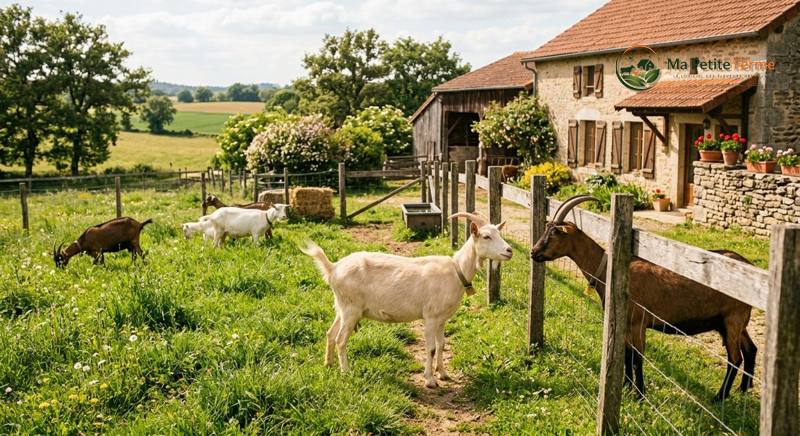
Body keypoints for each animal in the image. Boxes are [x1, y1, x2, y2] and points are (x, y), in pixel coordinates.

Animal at [301, 212, 513, 388]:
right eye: (486, 236)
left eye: (498, 233)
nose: (509, 250)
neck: (456, 270)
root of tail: (333, 268)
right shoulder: (430, 317)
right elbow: (431, 348)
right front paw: (430, 380)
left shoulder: (442, 319)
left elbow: (442, 344)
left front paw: (443, 374)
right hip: (351, 309)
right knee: (340, 339)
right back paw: (346, 371)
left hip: (342, 307)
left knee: (330, 334)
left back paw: (328, 364)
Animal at [530, 195, 756, 402]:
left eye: (555, 232)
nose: (533, 252)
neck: (608, 271)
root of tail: (749, 265)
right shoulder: (624, 323)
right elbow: (626, 355)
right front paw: (626, 386)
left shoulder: (638, 323)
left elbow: (637, 357)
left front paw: (639, 394)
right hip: (734, 322)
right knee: (750, 349)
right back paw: (743, 390)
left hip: (732, 319)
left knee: (735, 358)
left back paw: (720, 397)